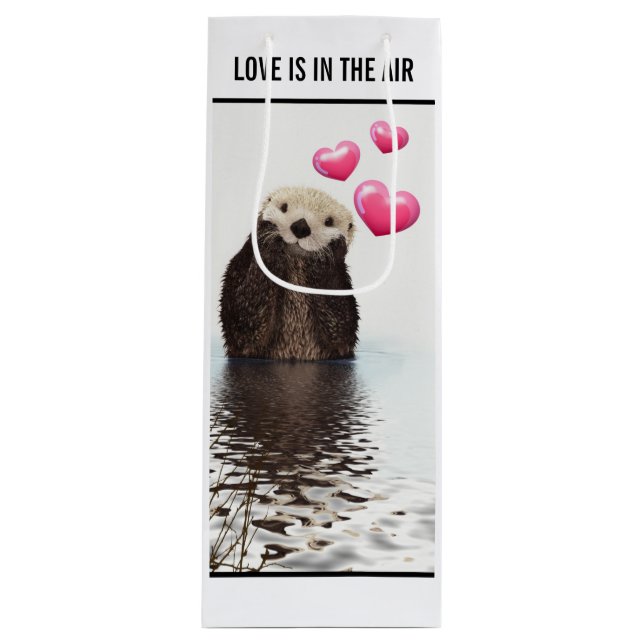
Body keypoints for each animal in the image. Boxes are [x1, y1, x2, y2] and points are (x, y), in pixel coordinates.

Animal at [219, 187, 359, 360]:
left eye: (329, 221)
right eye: (284, 207)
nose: (301, 226)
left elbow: (341, 328)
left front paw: (330, 250)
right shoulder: (238, 268)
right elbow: (243, 321)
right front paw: (267, 234)